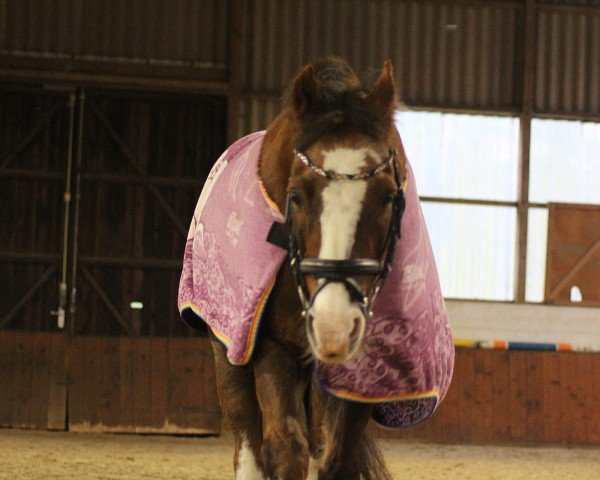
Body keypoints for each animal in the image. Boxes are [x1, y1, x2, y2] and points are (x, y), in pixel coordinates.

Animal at [180, 57, 452, 480]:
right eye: (296, 196)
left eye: (388, 197)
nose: (333, 322)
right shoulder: (273, 347)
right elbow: (286, 449)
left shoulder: (359, 370)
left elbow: (335, 458)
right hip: (225, 350)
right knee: (248, 438)